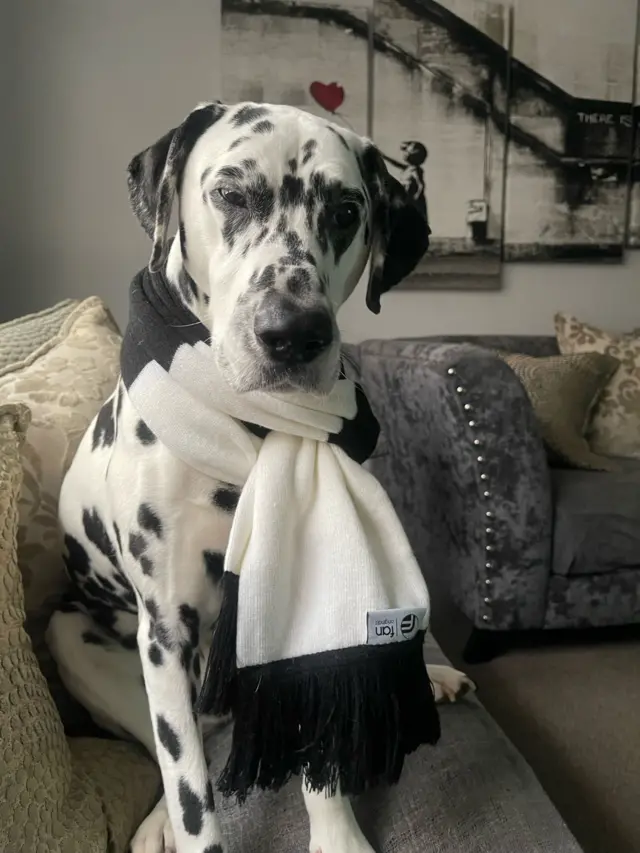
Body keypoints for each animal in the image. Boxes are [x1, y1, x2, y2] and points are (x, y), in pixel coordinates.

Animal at [47, 103, 472, 852]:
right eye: (230, 194)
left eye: (346, 211)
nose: (293, 332)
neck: (244, 437)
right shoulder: (165, 631)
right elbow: (190, 788)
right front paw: (185, 824)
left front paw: (339, 836)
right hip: (71, 634)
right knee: (170, 749)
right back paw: (157, 820)